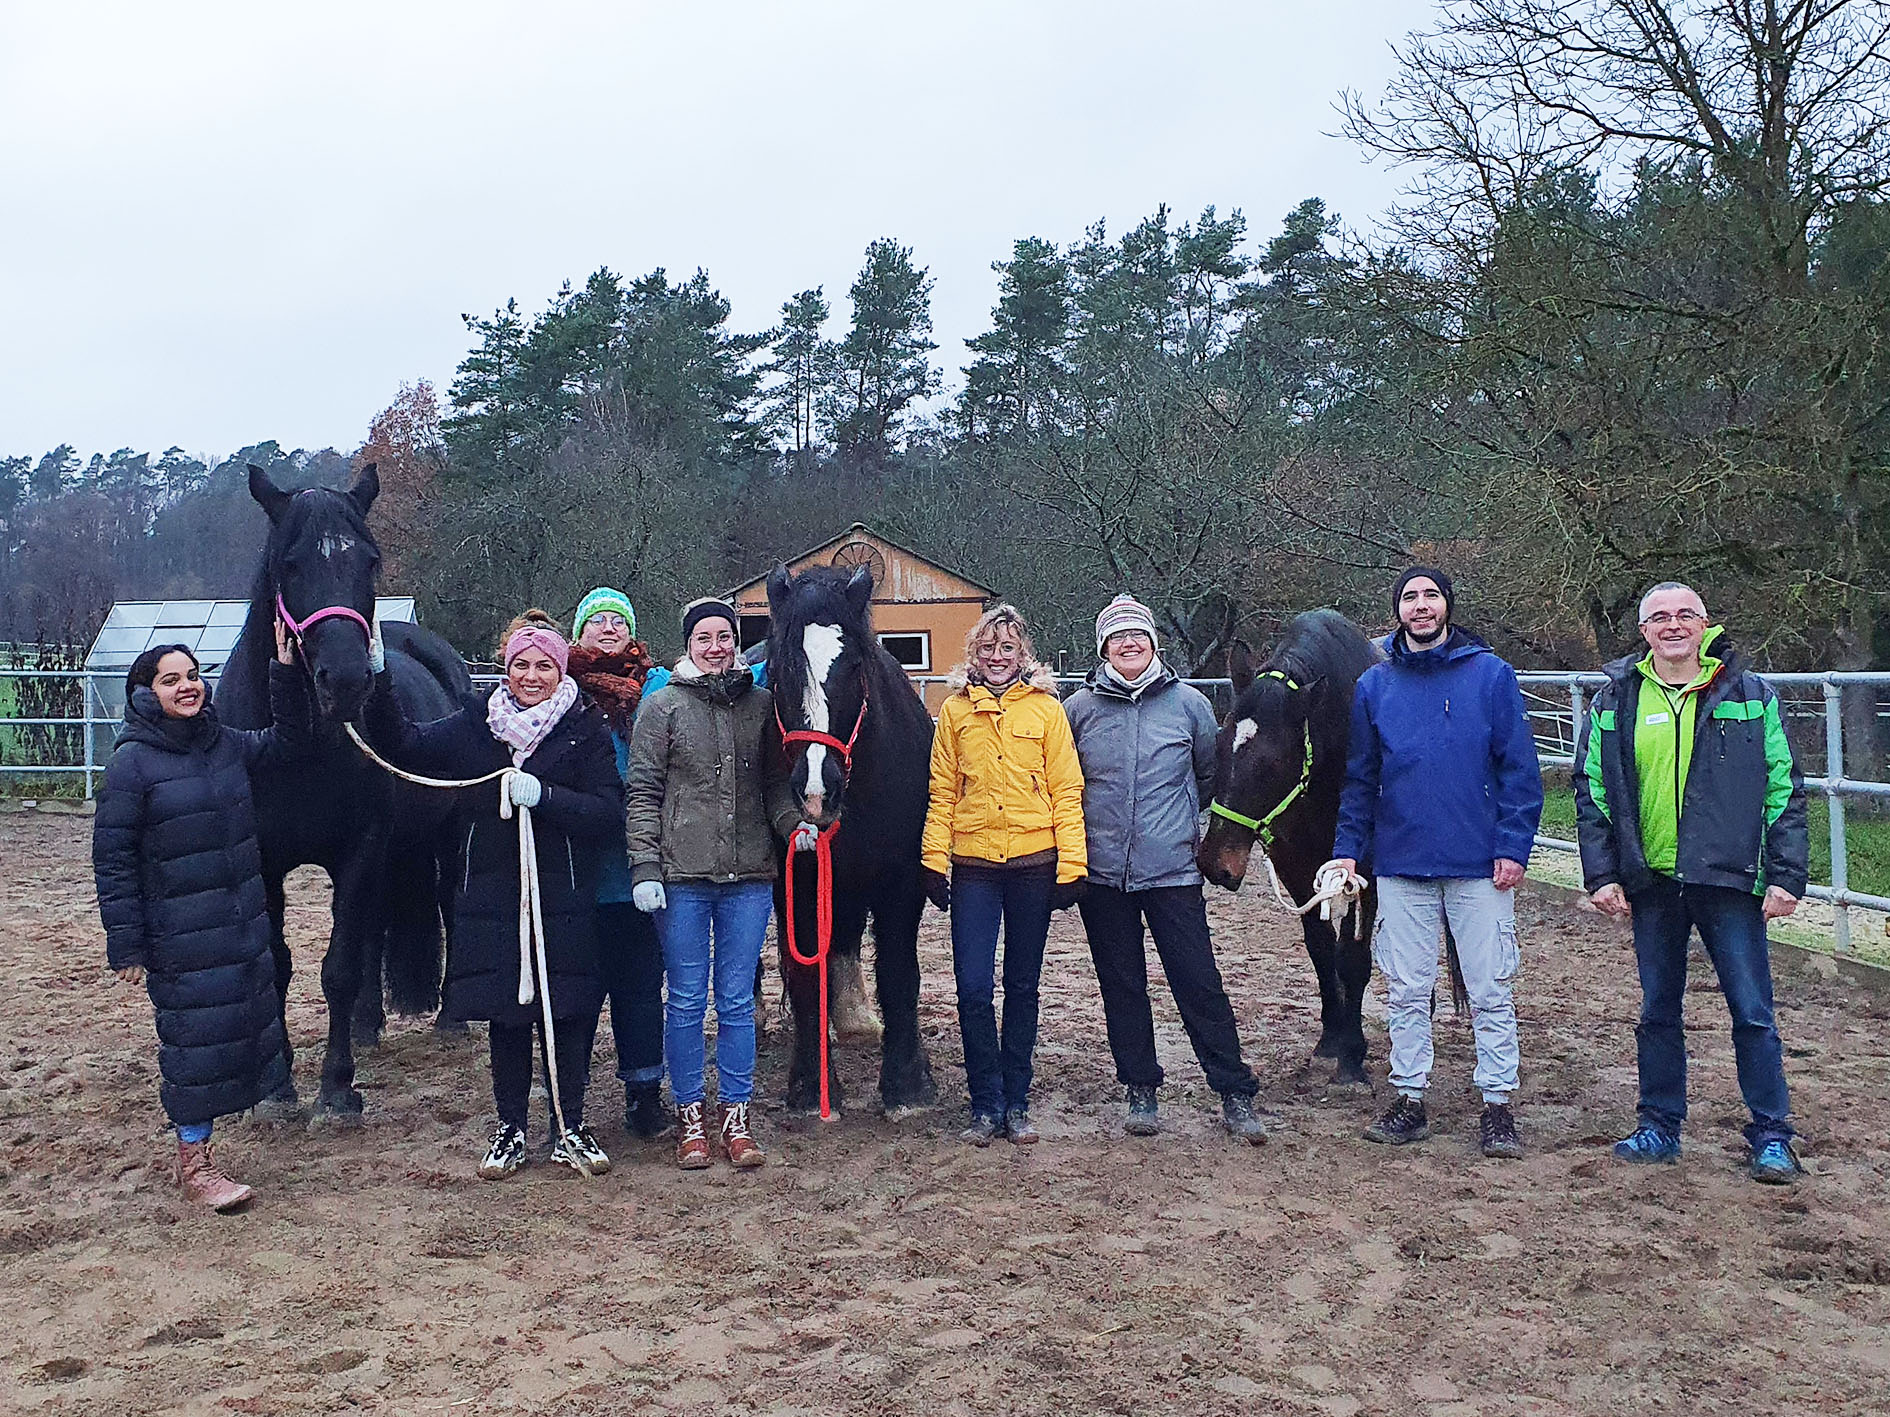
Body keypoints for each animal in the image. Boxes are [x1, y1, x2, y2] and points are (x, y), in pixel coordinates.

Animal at [216, 472, 468, 1126]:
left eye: (370, 562)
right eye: (290, 564)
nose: (349, 680)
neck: (298, 744)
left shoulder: (359, 848)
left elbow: (339, 968)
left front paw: (335, 1089)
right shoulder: (266, 861)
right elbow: (279, 966)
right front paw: (277, 1087)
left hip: (448, 836)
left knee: (450, 911)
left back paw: (451, 1018)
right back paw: (366, 1027)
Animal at [767, 559, 937, 1118]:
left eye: (855, 667)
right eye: (778, 671)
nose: (818, 791)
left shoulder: (902, 882)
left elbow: (900, 972)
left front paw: (907, 1084)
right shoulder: (795, 881)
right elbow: (804, 976)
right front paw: (809, 1086)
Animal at [1194, 612, 1391, 1088]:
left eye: (1273, 763)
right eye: (1220, 742)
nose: (1215, 864)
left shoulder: (1365, 872)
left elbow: (1352, 956)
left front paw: (1353, 1055)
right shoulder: (1296, 865)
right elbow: (1320, 947)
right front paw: (1331, 1038)